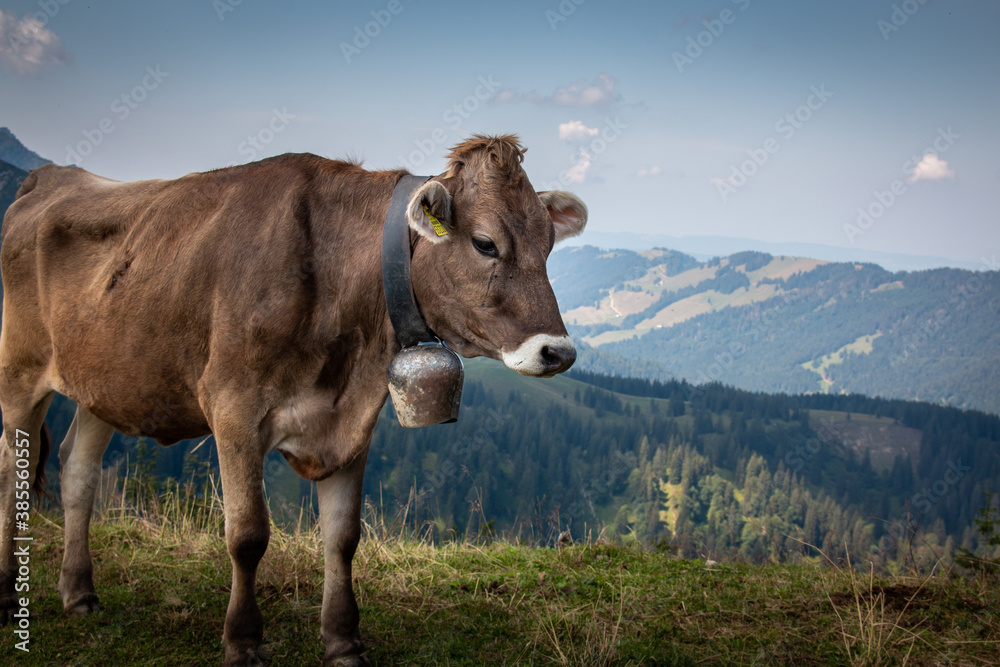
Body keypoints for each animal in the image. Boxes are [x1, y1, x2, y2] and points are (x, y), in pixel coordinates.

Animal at [0, 134, 584, 664]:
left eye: (548, 245)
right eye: (485, 243)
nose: (557, 351)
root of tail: (49, 178)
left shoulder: (351, 423)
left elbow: (343, 536)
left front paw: (343, 643)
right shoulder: (233, 409)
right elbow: (248, 535)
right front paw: (242, 642)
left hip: (103, 383)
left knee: (78, 470)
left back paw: (79, 593)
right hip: (20, 371)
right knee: (14, 470)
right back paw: (10, 594)